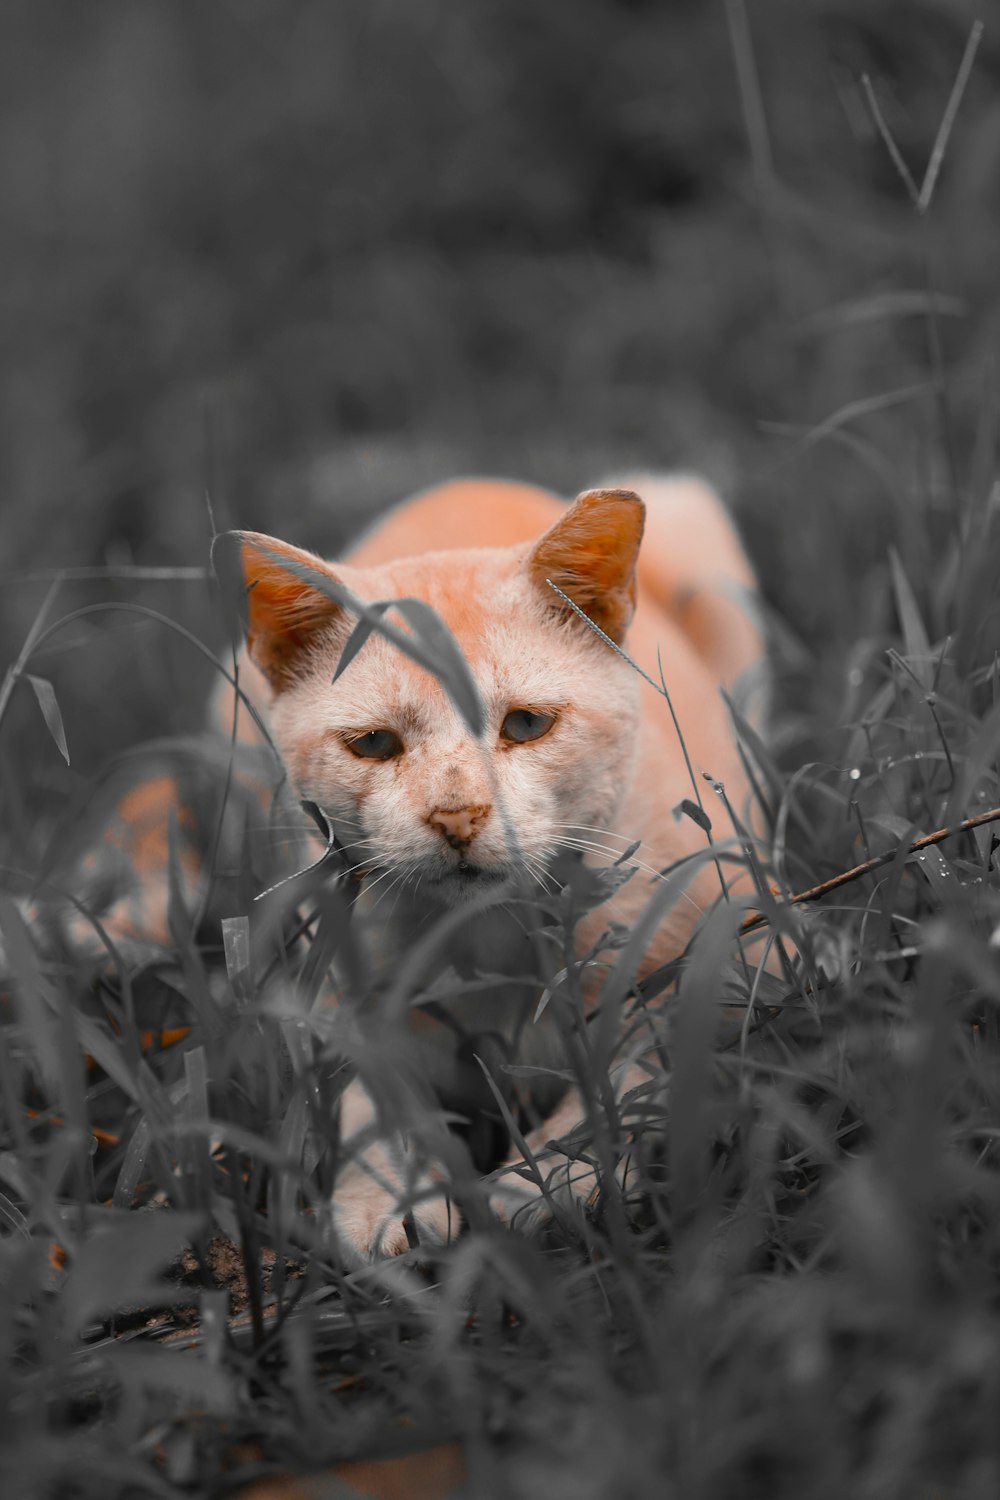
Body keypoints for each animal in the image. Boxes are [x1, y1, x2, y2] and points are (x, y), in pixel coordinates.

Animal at [224, 474, 773, 1260]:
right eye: (374, 744)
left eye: (526, 725)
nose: (457, 815)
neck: (486, 939)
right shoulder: (333, 1002)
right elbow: (371, 1102)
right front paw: (384, 1202)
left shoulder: (748, 956)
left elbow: (628, 1070)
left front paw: (542, 1184)